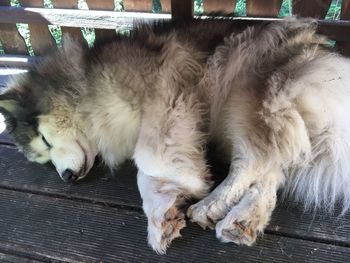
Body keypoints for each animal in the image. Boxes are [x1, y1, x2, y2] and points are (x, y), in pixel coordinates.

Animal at [0, 18, 350, 254]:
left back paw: (211, 205)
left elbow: (147, 161)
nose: (67, 177)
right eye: (44, 160)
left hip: (240, 96)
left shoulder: (167, 101)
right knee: (271, 170)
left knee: (254, 161)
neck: (86, 83)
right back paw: (242, 221)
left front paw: (188, 185)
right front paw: (161, 216)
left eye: (45, 141)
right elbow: (149, 177)